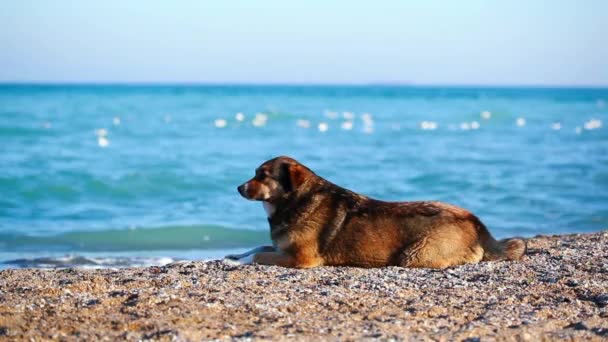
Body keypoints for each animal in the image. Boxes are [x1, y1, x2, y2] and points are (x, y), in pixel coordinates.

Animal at [226, 156, 524, 268]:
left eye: (262, 176)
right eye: (255, 173)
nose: (238, 187)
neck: (293, 200)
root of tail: (477, 223)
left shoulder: (302, 258)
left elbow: (259, 255)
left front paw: (235, 262)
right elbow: (257, 246)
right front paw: (234, 255)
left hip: (413, 254)